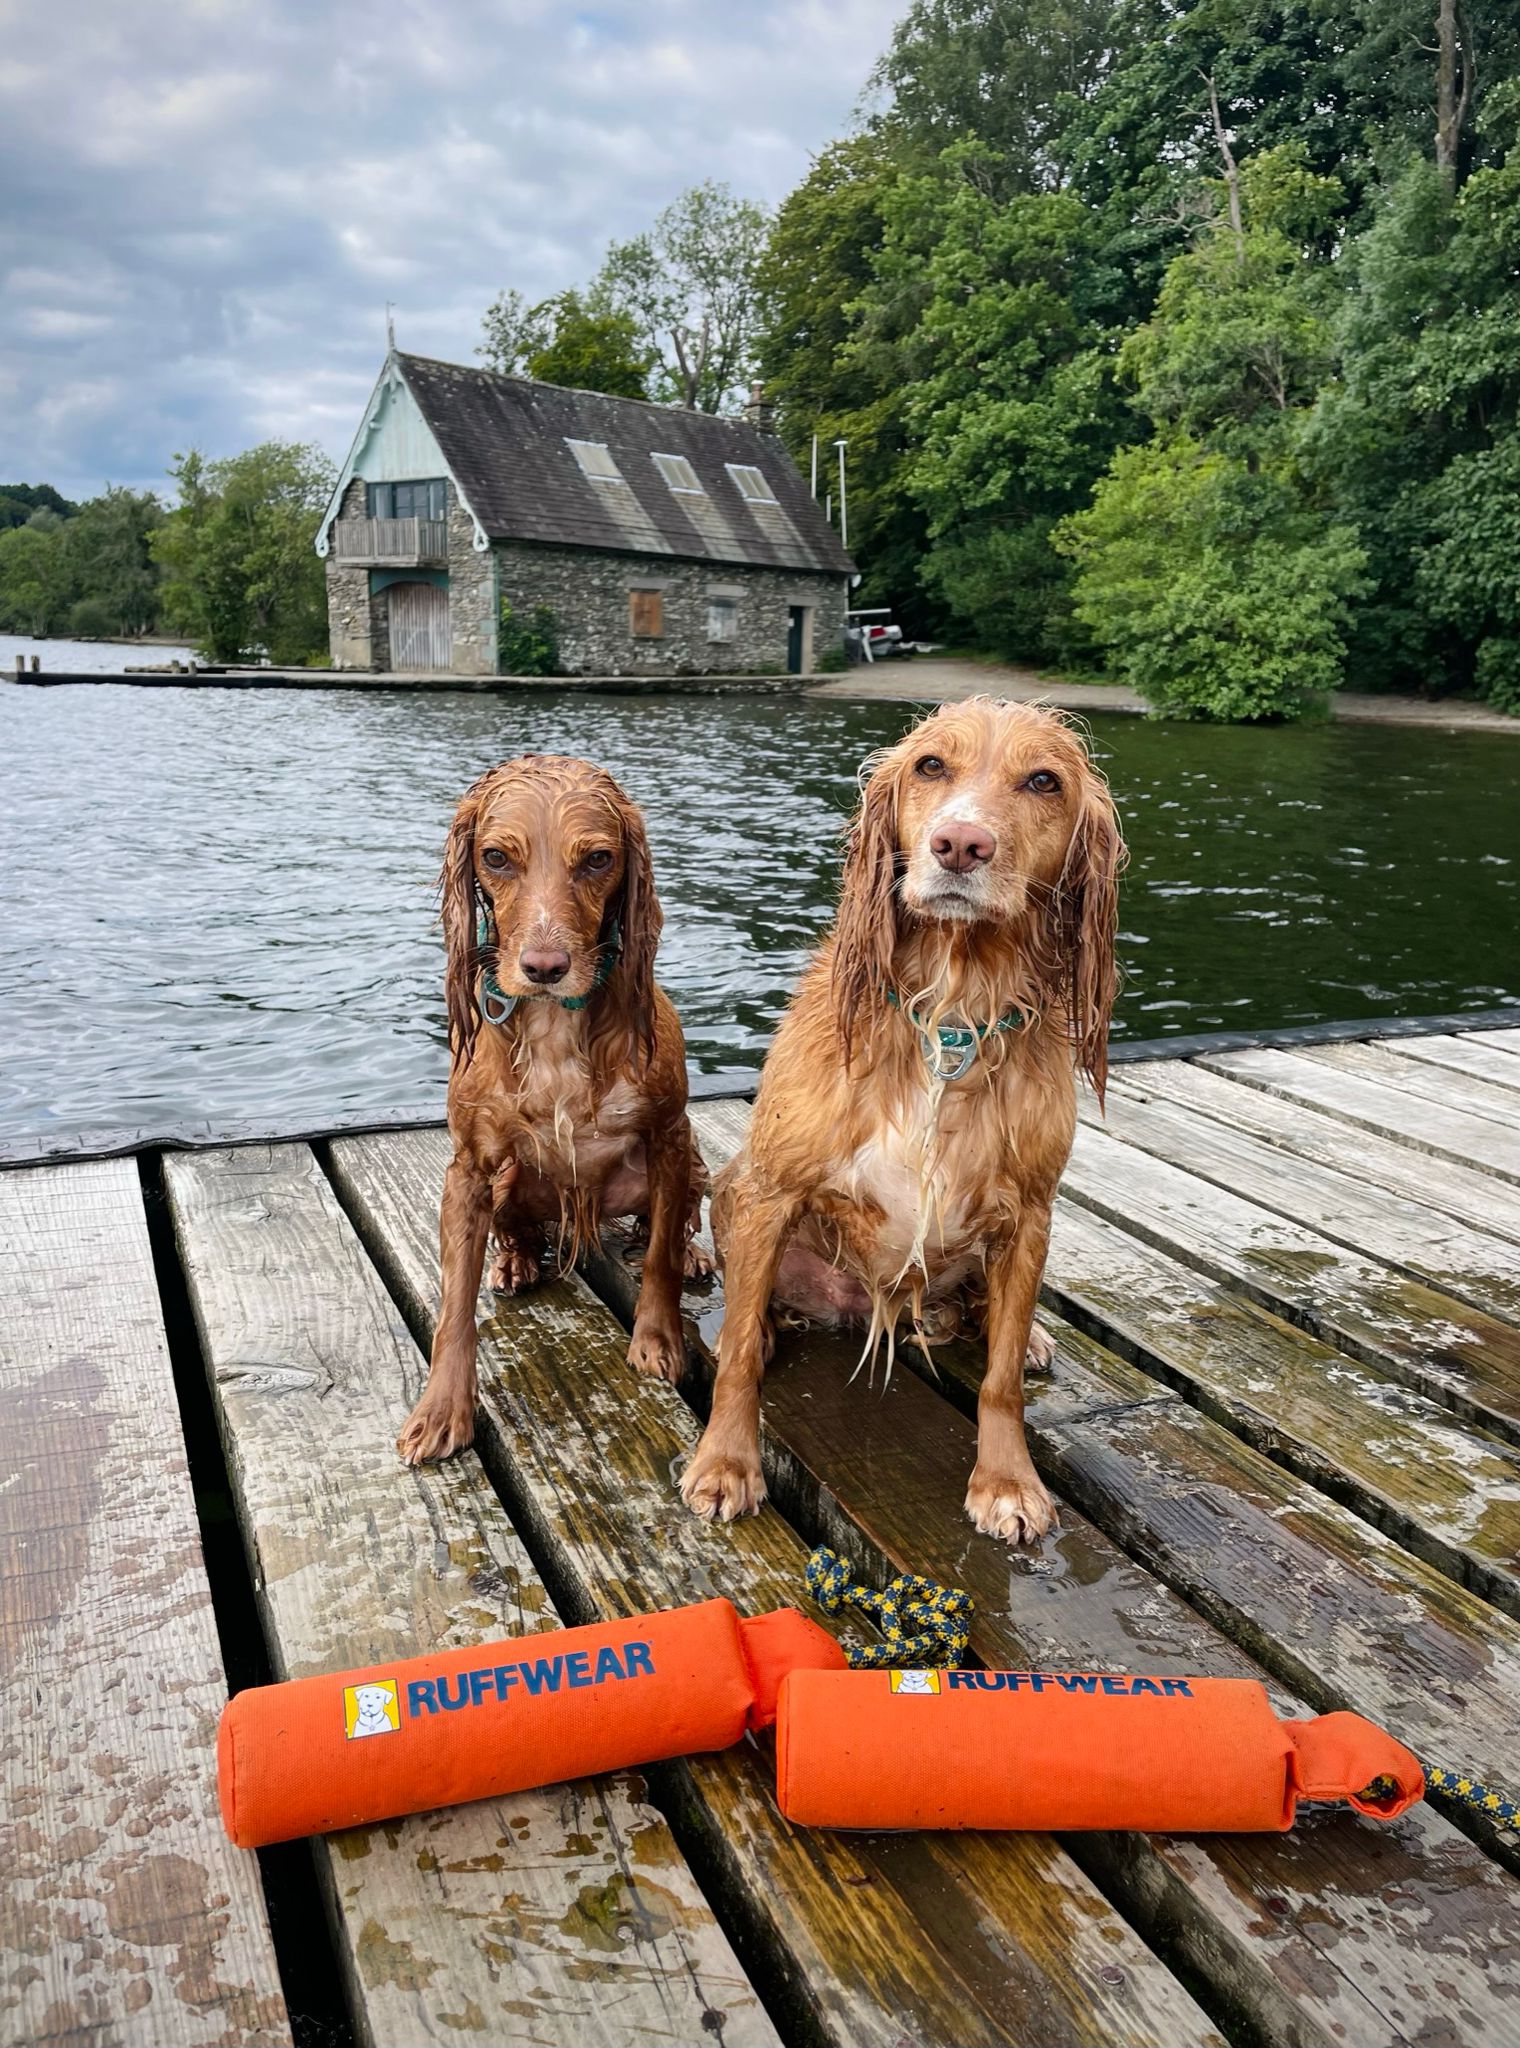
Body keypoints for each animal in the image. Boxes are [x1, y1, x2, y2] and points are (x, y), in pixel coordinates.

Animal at [405, 761, 712, 1466]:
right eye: (495, 857)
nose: (545, 967)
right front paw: (442, 1409)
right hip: (511, 1182)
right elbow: (453, 1307)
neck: (555, 1025)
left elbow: (659, 1257)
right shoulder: (469, 1167)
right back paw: (515, 1260)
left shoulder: (671, 1135)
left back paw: (691, 1253)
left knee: (671, 1224)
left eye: (598, 859)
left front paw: (657, 1342)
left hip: (692, 1165)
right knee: (520, 1229)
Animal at [684, 708, 1122, 1548]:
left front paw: (1007, 1480)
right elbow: (742, 1360)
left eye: (1044, 781)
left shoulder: (1031, 1216)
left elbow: (1001, 1378)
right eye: (930, 767)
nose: (959, 844)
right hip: (733, 1191)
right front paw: (725, 1463)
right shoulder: (770, 1191)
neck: (951, 1012)